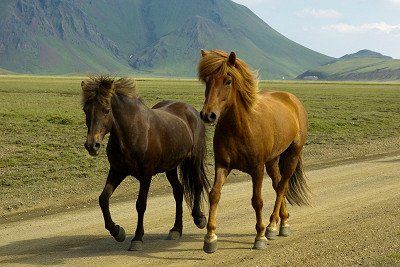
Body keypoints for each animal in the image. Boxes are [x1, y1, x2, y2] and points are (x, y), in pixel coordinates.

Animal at [80, 76, 209, 252]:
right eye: (85, 110)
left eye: (106, 110)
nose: (92, 145)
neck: (132, 133)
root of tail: (191, 110)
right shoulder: (117, 171)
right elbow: (103, 198)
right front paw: (117, 231)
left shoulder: (146, 175)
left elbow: (140, 205)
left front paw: (137, 238)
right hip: (170, 167)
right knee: (178, 191)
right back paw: (176, 229)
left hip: (194, 160)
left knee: (197, 183)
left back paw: (199, 218)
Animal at [199, 49, 310, 253]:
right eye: (207, 80)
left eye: (228, 80)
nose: (208, 115)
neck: (240, 127)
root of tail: (292, 99)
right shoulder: (222, 165)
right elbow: (214, 195)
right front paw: (210, 237)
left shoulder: (257, 168)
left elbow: (257, 201)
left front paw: (260, 235)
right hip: (272, 160)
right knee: (277, 184)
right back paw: (283, 222)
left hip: (292, 154)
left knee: (282, 186)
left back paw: (272, 226)